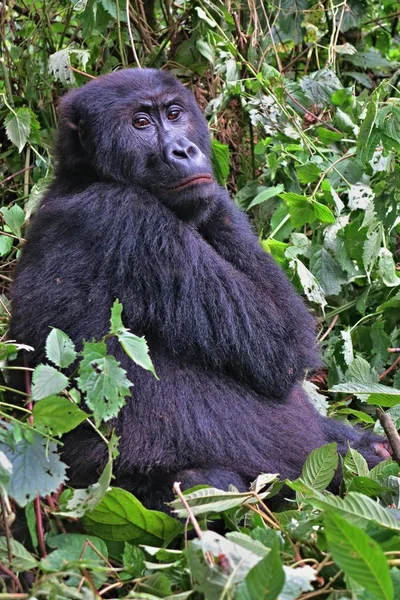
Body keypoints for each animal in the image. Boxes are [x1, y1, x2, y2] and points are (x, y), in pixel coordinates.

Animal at [8, 70, 384, 510]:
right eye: (141, 123)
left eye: (174, 114)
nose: (184, 150)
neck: (84, 176)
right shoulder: (125, 216)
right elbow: (283, 349)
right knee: (209, 482)